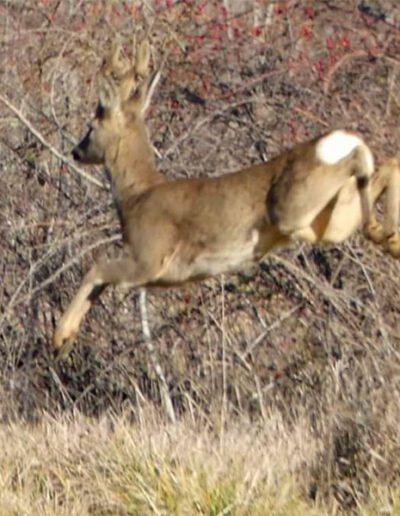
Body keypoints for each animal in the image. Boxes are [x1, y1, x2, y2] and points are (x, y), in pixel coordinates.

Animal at [53, 39, 400, 358]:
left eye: (92, 124)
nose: (76, 150)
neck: (136, 195)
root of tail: (338, 140)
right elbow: (99, 283)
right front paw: (67, 338)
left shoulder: (149, 257)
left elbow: (97, 269)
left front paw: (60, 335)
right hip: (325, 221)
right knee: (382, 173)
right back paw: (389, 238)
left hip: (292, 207)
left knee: (361, 162)